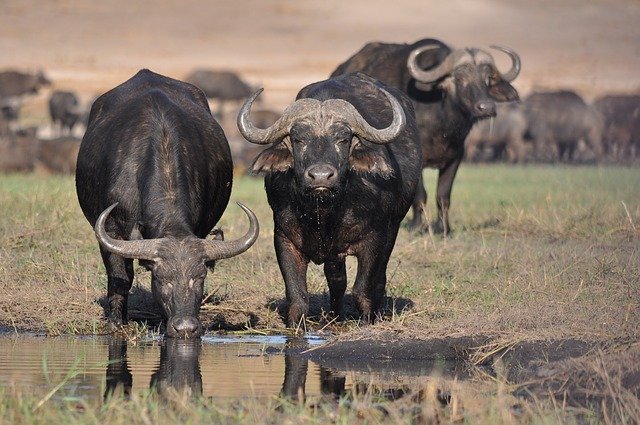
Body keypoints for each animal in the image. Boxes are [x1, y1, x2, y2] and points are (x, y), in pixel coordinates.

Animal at [78, 68, 260, 338]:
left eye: (200, 278)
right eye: (162, 279)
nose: (185, 327)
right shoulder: (110, 229)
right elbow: (120, 276)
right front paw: (116, 322)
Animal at [238, 72, 422, 324]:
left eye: (343, 139)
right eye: (298, 139)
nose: (321, 176)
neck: (324, 212)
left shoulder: (375, 239)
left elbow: (363, 289)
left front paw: (368, 320)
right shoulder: (284, 239)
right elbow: (297, 295)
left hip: (393, 229)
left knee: (377, 278)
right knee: (337, 280)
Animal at [330, 38, 520, 234]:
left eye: (487, 79)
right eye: (459, 78)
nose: (486, 107)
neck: (441, 121)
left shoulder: (456, 157)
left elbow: (443, 196)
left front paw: (443, 228)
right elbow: (420, 195)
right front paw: (416, 226)